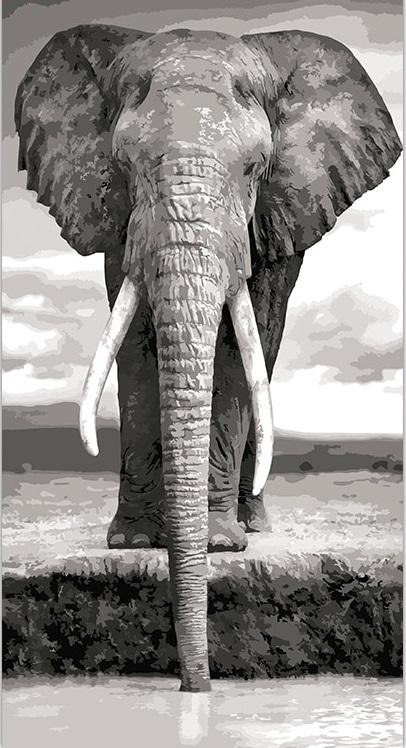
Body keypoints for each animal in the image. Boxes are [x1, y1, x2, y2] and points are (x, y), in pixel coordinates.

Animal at [15, 24, 401, 691]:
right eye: (124, 165)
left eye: (256, 169)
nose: (196, 685)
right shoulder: (119, 220)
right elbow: (136, 341)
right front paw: (134, 543)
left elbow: (232, 349)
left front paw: (219, 548)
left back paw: (251, 527)